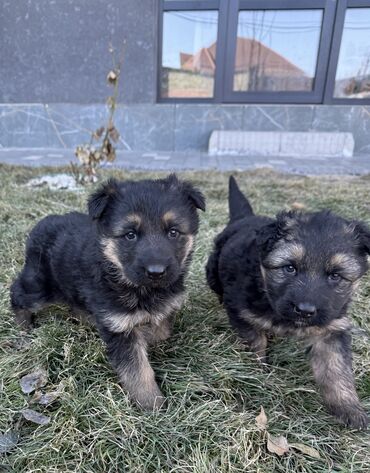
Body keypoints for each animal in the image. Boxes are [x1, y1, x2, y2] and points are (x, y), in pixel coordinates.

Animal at [10, 173, 205, 410]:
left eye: (173, 232)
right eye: (130, 235)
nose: (156, 272)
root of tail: (42, 223)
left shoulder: (163, 309)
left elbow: (160, 330)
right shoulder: (120, 327)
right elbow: (138, 370)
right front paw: (153, 405)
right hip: (40, 285)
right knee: (18, 292)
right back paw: (24, 326)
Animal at [207, 176, 368, 428]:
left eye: (335, 275)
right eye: (289, 268)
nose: (305, 310)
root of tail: (244, 218)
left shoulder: (333, 328)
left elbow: (336, 368)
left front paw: (348, 407)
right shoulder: (241, 311)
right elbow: (255, 342)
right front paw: (257, 371)